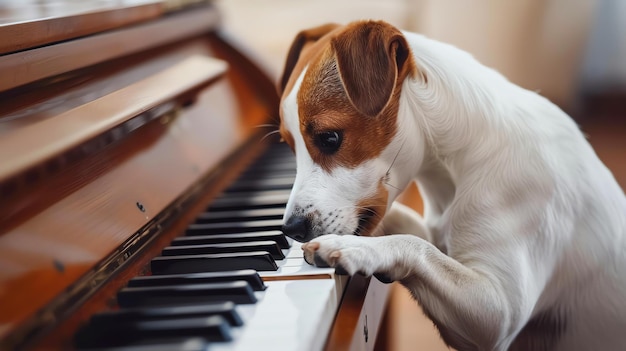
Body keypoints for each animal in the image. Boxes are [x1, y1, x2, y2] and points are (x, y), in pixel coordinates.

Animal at [276, 20, 624, 350]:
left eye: (329, 138)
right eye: (288, 146)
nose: (291, 229)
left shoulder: (498, 311)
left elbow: (414, 246)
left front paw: (354, 247)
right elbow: (418, 236)